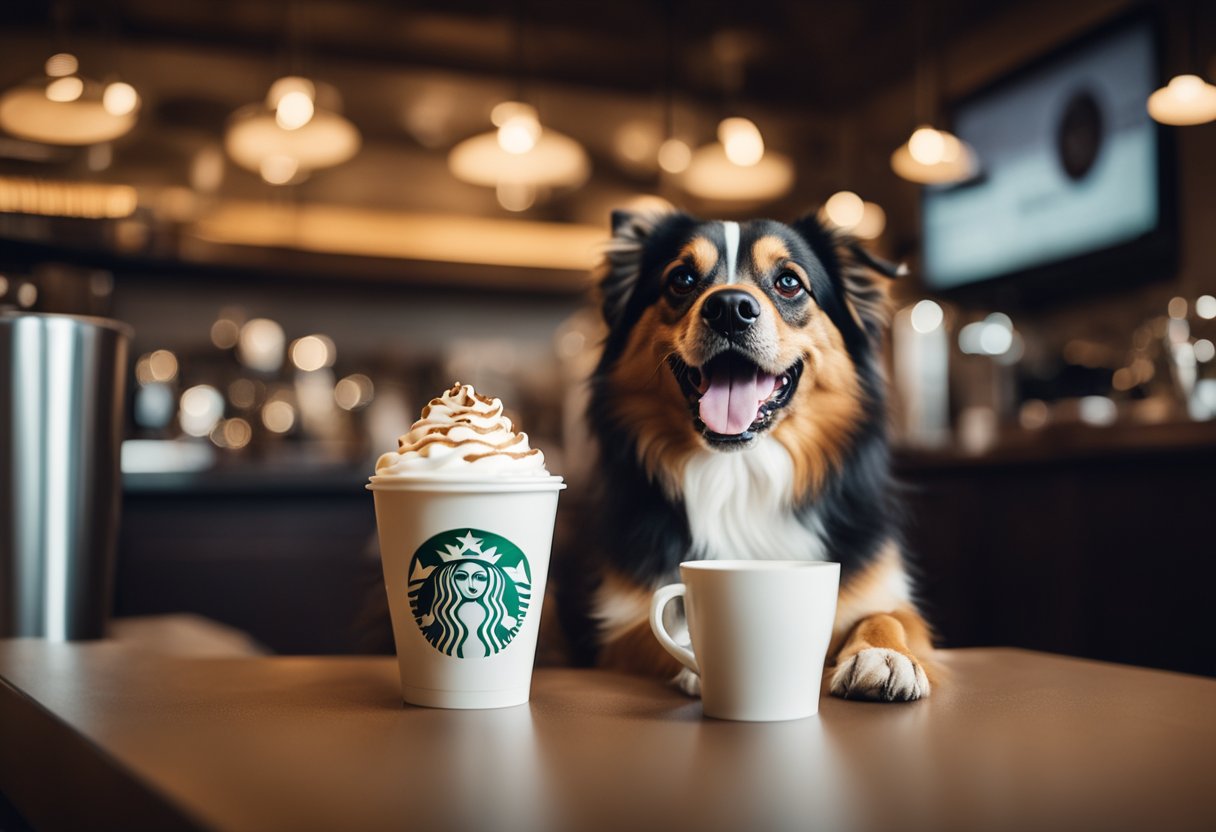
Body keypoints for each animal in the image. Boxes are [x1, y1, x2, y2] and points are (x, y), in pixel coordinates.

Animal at [556, 203, 933, 700]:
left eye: (789, 282)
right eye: (681, 279)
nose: (730, 309)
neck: (740, 475)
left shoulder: (878, 586)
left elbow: (890, 616)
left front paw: (885, 655)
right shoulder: (618, 626)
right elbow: (663, 630)